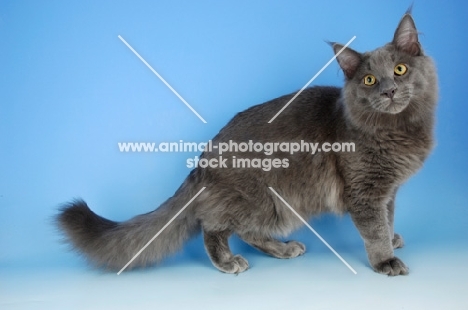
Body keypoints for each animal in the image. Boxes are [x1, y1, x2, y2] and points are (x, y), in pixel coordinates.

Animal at [56, 10, 436, 276]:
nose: (389, 91)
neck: (396, 130)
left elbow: (388, 218)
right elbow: (374, 229)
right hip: (269, 200)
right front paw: (385, 260)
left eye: (400, 70)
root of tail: (203, 161)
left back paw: (283, 250)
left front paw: (393, 238)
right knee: (214, 226)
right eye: (370, 80)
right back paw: (227, 262)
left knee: (248, 232)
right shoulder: (365, 191)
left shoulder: (388, 190)